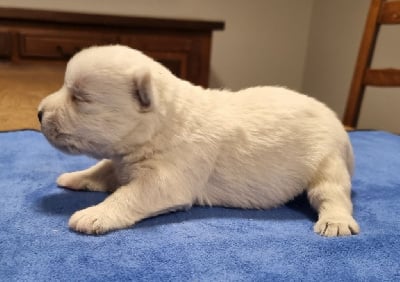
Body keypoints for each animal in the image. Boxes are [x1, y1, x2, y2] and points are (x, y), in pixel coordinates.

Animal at [39, 45, 360, 236]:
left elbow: (130, 194)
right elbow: (104, 168)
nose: (39, 113)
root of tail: (337, 122)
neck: (163, 123)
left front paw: (93, 215)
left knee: (332, 194)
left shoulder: (168, 177)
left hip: (327, 161)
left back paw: (336, 222)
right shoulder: (122, 159)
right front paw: (74, 177)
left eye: (80, 97)